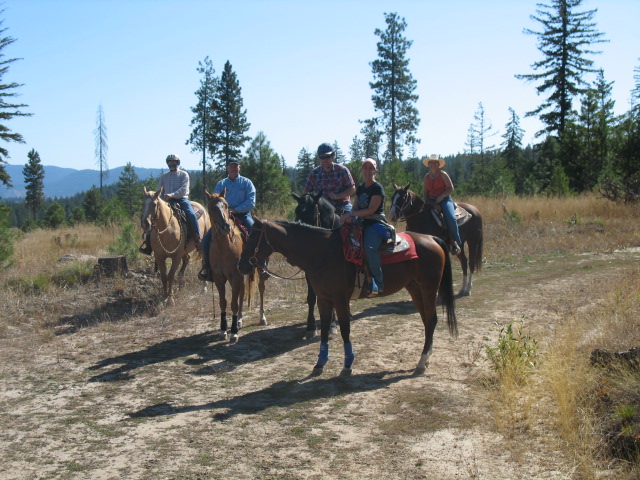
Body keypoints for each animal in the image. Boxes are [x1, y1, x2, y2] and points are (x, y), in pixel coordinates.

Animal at [204, 189, 266, 344]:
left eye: (226, 205)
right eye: (211, 208)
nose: (226, 227)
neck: (223, 247)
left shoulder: (235, 277)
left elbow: (233, 303)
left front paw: (233, 333)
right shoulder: (219, 278)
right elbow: (223, 302)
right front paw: (223, 330)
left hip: (258, 271)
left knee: (261, 288)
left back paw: (262, 317)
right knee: (242, 293)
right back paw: (239, 320)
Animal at [238, 217, 458, 376]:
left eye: (253, 238)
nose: (241, 266)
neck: (322, 253)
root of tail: (432, 239)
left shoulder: (340, 298)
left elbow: (345, 329)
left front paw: (347, 365)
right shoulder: (324, 299)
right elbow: (324, 329)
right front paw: (319, 363)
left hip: (428, 288)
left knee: (432, 320)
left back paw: (421, 362)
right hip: (414, 288)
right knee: (427, 321)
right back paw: (425, 360)